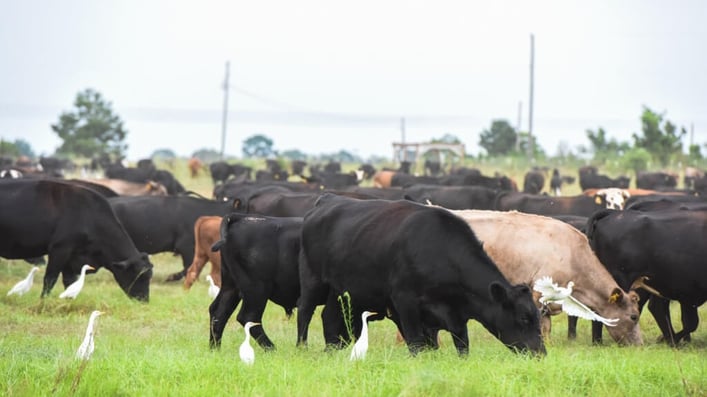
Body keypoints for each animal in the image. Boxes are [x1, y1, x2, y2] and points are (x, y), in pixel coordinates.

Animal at [0, 178, 153, 298]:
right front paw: (43, 301)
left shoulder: (72, 257)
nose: (144, 300)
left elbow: (70, 282)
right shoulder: (60, 249)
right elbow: (50, 278)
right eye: (141, 276)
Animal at [207, 213, 302, 350]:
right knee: (248, 316)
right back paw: (272, 349)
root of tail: (242, 217)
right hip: (256, 289)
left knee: (218, 311)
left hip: (231, 286)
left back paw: (215, 349)